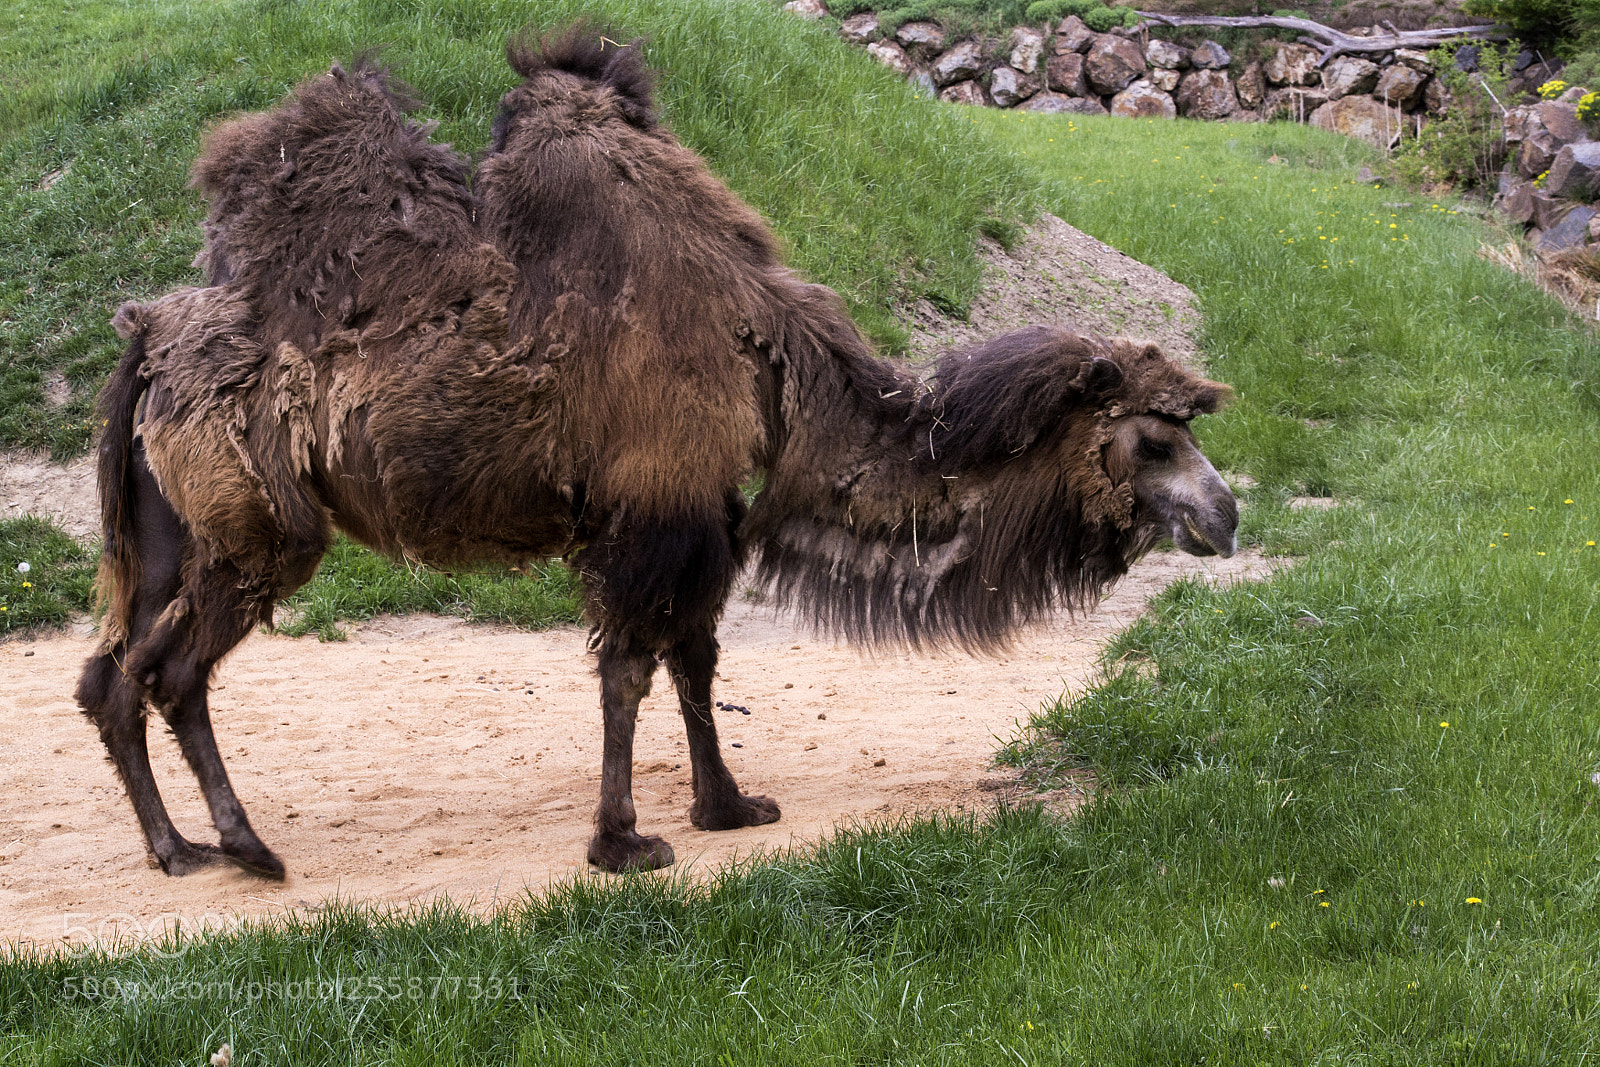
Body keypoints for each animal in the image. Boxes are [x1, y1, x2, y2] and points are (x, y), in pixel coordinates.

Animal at [77, 30, 1238, 878]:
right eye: (1155, 436)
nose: (1226, 513)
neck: (774, 362)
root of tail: (147, 341)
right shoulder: (653, 504)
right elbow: (633, 666)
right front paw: (624, 841)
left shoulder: (705, 508)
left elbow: (695, 657)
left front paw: (729, 804)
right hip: (256, 526)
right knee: (172, 671)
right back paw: (248, 847)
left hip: (172, 529)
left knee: (108, 672)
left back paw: (174, 848)